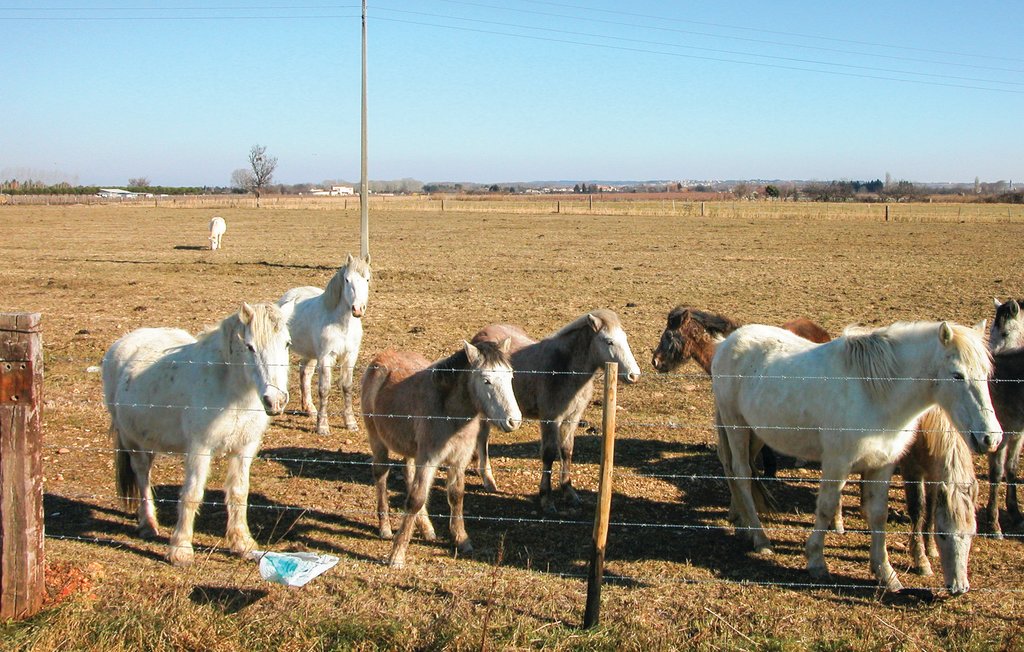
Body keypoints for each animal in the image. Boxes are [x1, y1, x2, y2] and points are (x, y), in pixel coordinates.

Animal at [102, 300, 292, 564]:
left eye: (287, 343)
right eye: (250, 347)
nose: (275, 400)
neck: (232, 391)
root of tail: (124, 342)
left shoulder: (244, 448)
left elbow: (239, 493)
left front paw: (242, 544)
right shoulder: (200, 448)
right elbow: (192, 493)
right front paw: (181, 550)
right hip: (131, 439)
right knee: (141, 474)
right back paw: (148, 524)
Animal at [280, 255, 372, 438]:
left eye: (367, 279)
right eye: (347, 279)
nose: (358, 309)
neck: (342, 324)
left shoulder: (350, 356)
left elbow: (347, 387)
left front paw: (350, 423)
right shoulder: (326, 357)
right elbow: (324, 389)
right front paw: (322, 426)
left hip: (311, 354)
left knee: (305, 372)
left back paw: (309, 409)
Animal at [360, 337, 520, 569]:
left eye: (510, 376)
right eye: (486, 380)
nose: (513, 421)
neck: (449, 413)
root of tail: (382, 357)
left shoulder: (458, 461)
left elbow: (456, 496)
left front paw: (462, 540)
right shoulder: (428, 460)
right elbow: (416, 499)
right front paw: (397, 555)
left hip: (411, 450)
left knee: (408, 475)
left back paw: (426, 528)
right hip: (378, 440)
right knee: (381, 475)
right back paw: (385, 528)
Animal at [471, 307, 638, 511]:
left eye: (625, 338)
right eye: (609, 341)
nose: (634, 375)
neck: (564, 369)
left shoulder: (572, 418)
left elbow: (566, 451)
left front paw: (569, 492)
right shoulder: (550, 419)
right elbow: (549, 454)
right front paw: (546, 499)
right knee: (482, 438)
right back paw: (488, 479)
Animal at [712, 321, 999, 589]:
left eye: (986, 374)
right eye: (957, 375)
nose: (991, 438)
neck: (874, 392)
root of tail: (727, 343)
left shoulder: (883, 466)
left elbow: (879, 514)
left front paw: (885, 572)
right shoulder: (837, 463)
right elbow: (826, 508)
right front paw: (816, 561)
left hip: (756, 434)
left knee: (741, 471)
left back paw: (741, 522)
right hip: (735, 426)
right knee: (742, 474)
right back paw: (760, 538)